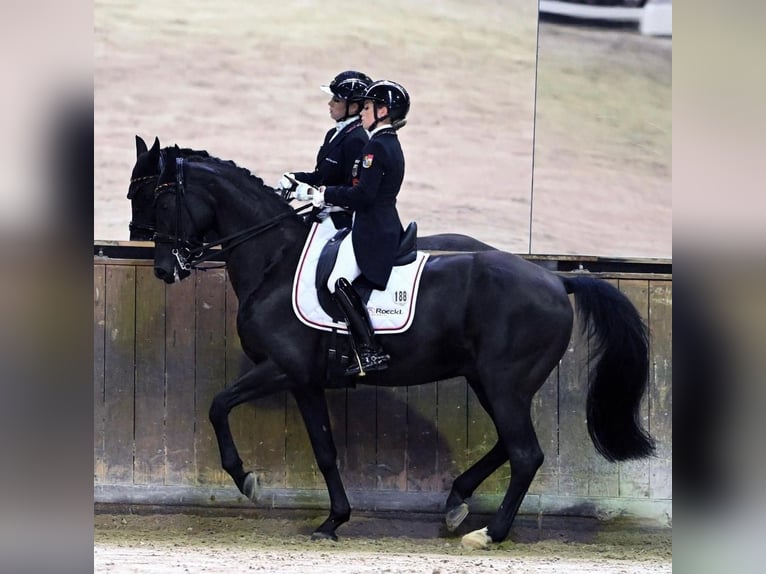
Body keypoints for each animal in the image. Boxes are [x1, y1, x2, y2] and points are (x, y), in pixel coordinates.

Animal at [152, 147, 660, 548]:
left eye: (162, 200)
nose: (164, 269)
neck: (275, 261)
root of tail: (557, 280)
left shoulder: (283, 368)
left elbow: (219, 405)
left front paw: (246, 479)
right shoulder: (306, 382)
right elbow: (324, 450)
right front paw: (333, 521)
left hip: (503, 384)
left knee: (525, 453)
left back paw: (489, 533)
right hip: (491, 382)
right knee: (509, 444)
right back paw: (456, 502)